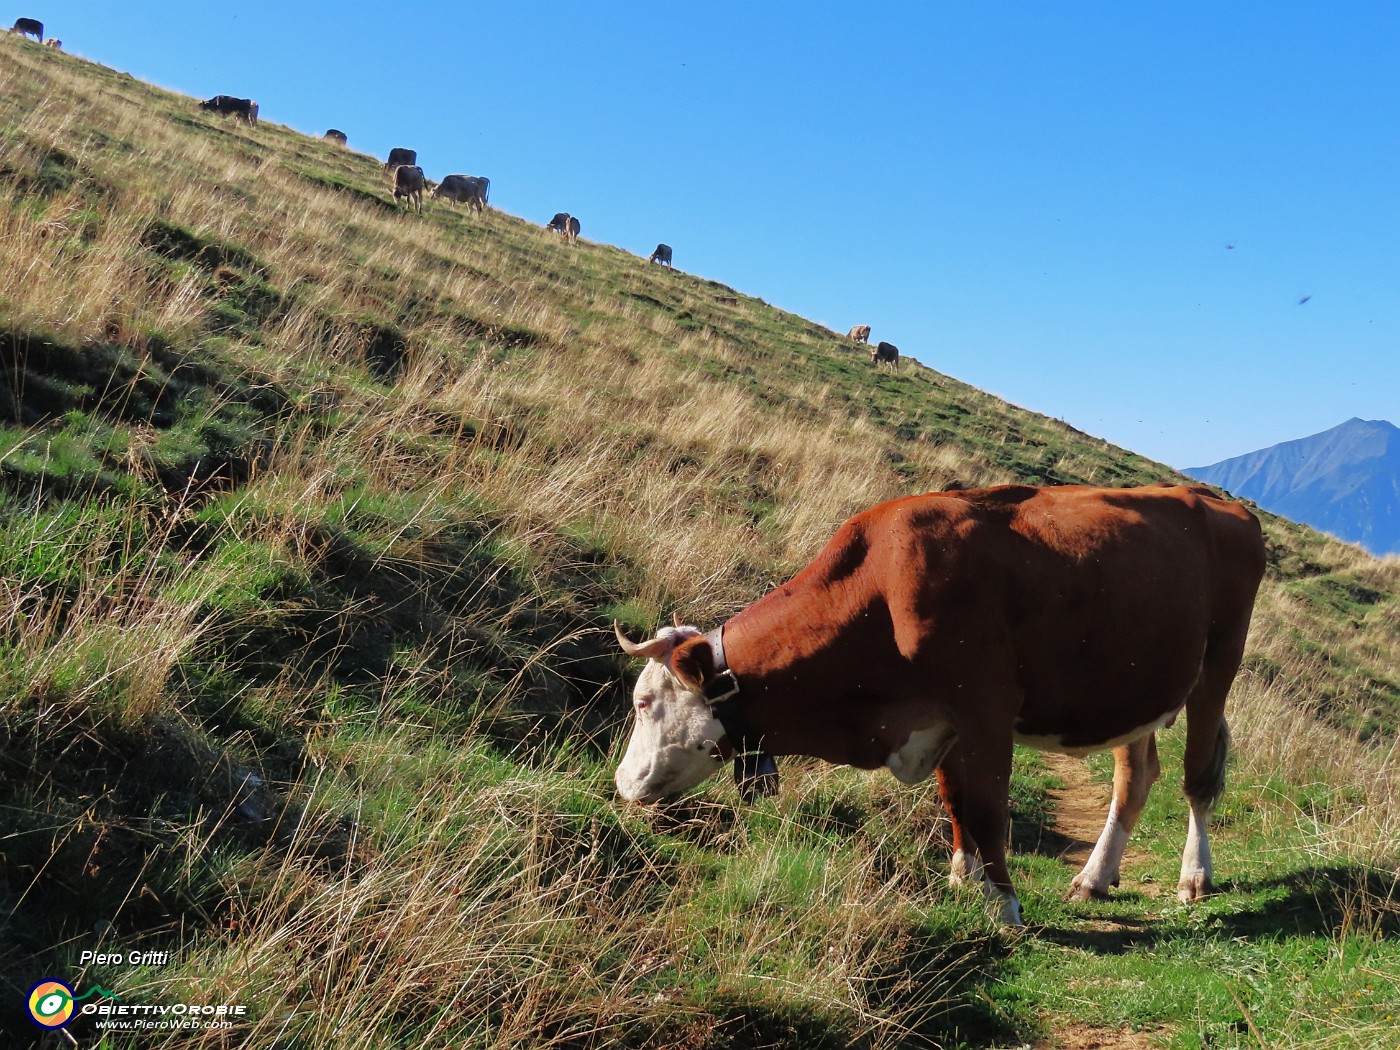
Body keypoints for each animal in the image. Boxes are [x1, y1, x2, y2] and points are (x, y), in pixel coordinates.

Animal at [613, 484, 1271, 929]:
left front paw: (1005, 905)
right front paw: (963, 877)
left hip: (1219, 665)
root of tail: (1213, 499)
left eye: (644, 702)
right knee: (1135, 778)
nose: (620, 783)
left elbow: (986, 808)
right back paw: (1094, 878)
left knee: (1196, 780)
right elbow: (955, 800)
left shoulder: (985, 712)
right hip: (1136, 691)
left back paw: (1194, 876)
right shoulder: (943, 722)